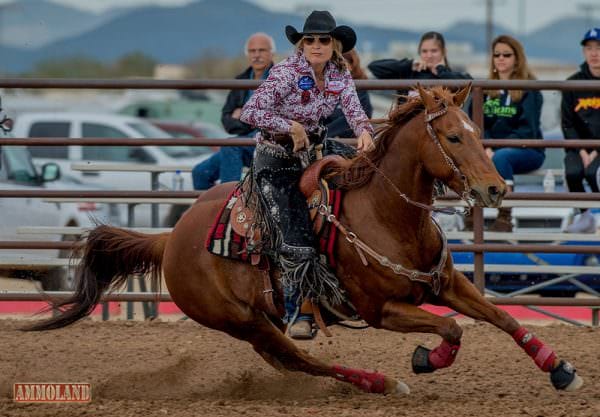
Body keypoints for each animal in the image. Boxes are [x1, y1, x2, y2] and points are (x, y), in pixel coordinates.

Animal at [28, 85, 580, 394]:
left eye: (476, 131)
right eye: (452, 136)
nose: (496, 188)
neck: (390, 217)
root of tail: (171, 237)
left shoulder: (445, 284)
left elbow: (502, 317)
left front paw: (560, 368)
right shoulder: (381, 311)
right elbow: (452, 330)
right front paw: (426, 359)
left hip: (259, 320)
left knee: (291, 360)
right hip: (242, 321)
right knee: (299, 359)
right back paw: (383, 382)